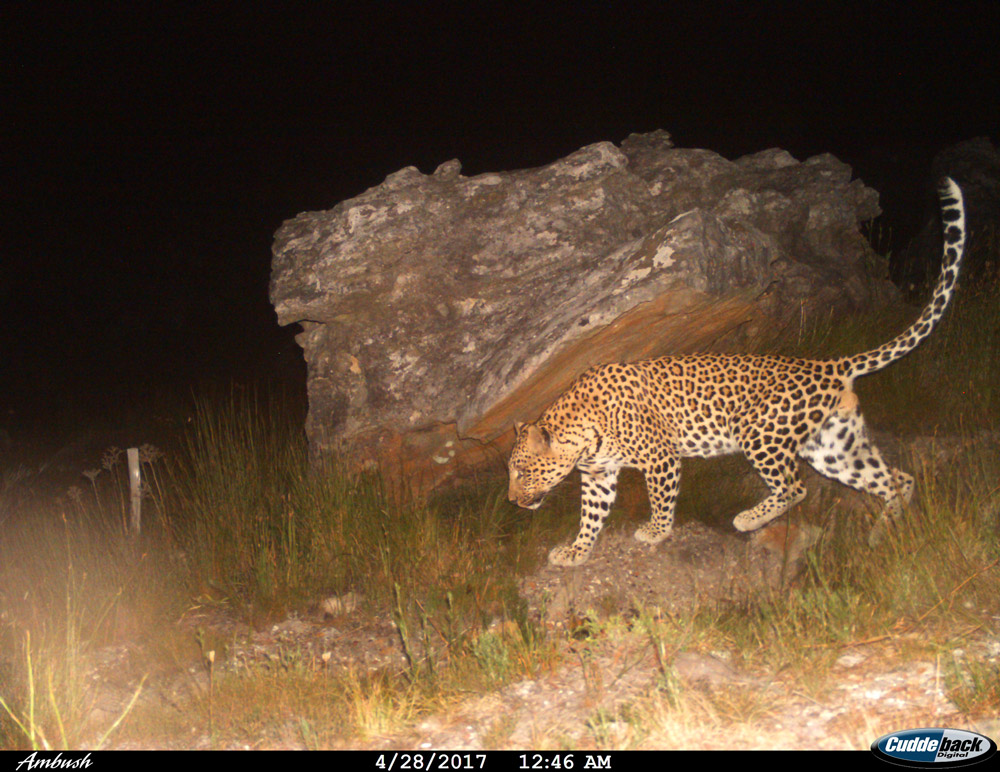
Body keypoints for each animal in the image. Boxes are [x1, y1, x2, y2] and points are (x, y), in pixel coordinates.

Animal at [512, 179, 964, 568]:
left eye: (523, 471)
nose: (513, 502)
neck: (582, 432)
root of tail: (826, 363)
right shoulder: (598, 474)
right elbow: (591, 516)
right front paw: (576, 551)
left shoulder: (661, 457)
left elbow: (661, 499)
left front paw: (656, 532)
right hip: (833, 445)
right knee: (896, 478)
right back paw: (882, 532)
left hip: (760, 431)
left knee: (795, 486)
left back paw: (749, 519)